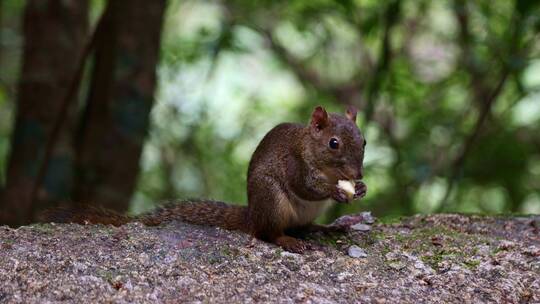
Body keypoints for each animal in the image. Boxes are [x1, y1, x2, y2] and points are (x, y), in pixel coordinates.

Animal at [45, 105, 368, 253]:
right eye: (334, 143)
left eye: (364, 140)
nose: (358, 175)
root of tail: (252, 214)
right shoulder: (294, 164)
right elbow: (307, 186)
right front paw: (336, 191)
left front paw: (361, 188)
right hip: (272, 201)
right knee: (268, 233)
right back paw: (288, 240)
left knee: (306, 226)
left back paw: (326, 228)